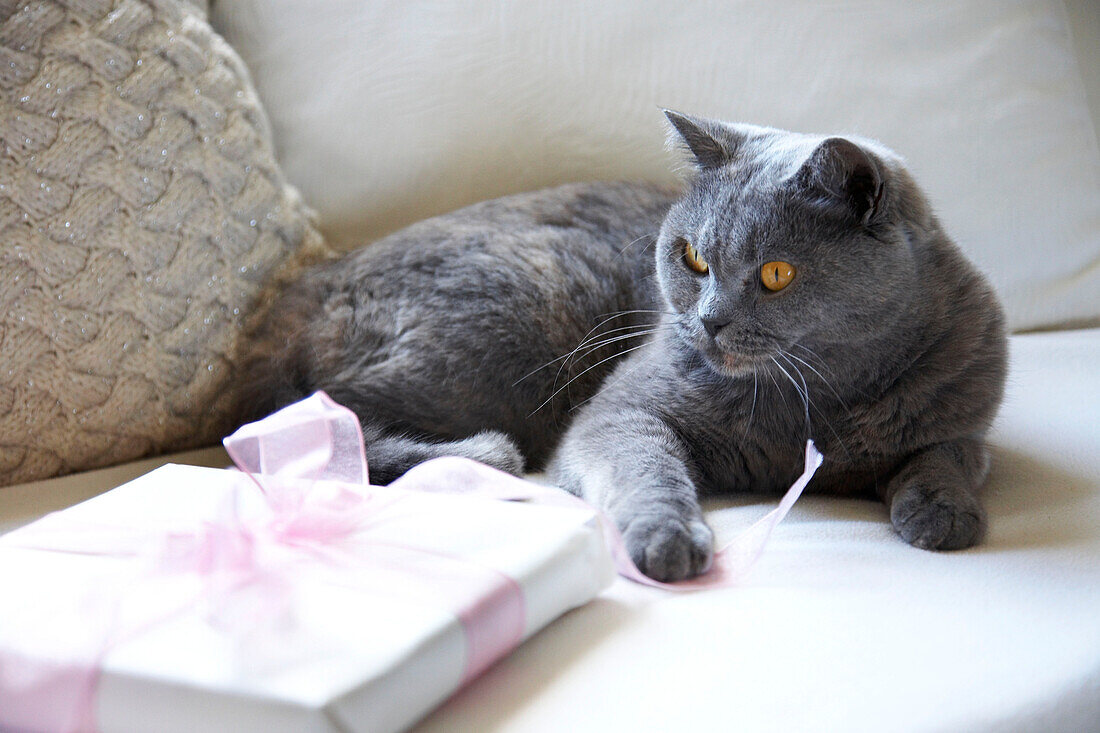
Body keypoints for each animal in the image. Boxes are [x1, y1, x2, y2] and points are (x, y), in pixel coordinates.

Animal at [240, 112, 1007, 581]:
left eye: (776, 274)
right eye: (692, 257)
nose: (708, 321)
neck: (812, 397)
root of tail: (305, 284)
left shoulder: (967, 405)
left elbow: (947, 453)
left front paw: (942, 512)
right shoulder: (620, 411)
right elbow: (648, 465)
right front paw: (666, 539)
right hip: (509, 330)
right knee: (286, 428)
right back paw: (474, 455)